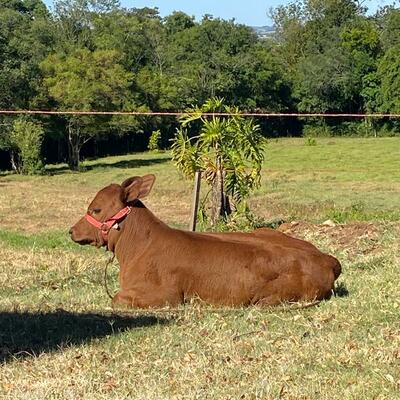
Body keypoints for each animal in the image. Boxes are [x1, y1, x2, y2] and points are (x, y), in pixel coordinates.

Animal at [69, 174, 341, 309]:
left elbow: (116, 299)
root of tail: (327, 259)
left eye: (95, 209)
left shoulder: (166, 296)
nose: (71, 231)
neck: (137, 248)